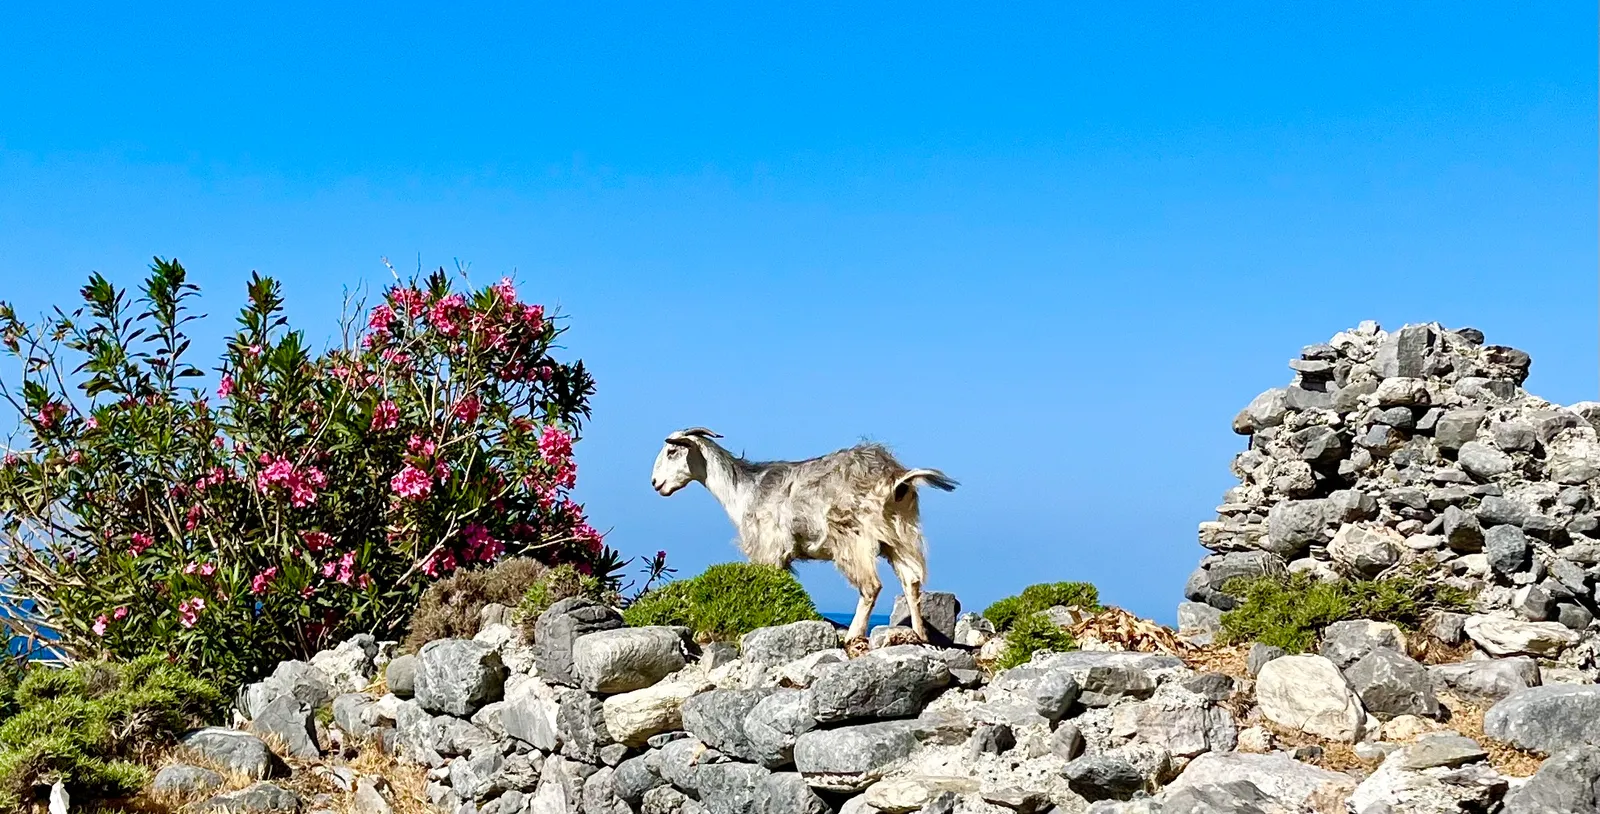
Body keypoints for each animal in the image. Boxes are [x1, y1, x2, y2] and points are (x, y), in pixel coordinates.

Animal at [649, 427, 957, 643]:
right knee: (911, 581)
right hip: (900, 537)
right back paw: (921, 635)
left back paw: (853, 635)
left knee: (871, 586)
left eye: (673, 451)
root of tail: (895, 478)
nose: (655, 483)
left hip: (853, 536)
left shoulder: (768, 549)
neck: (744, 490)